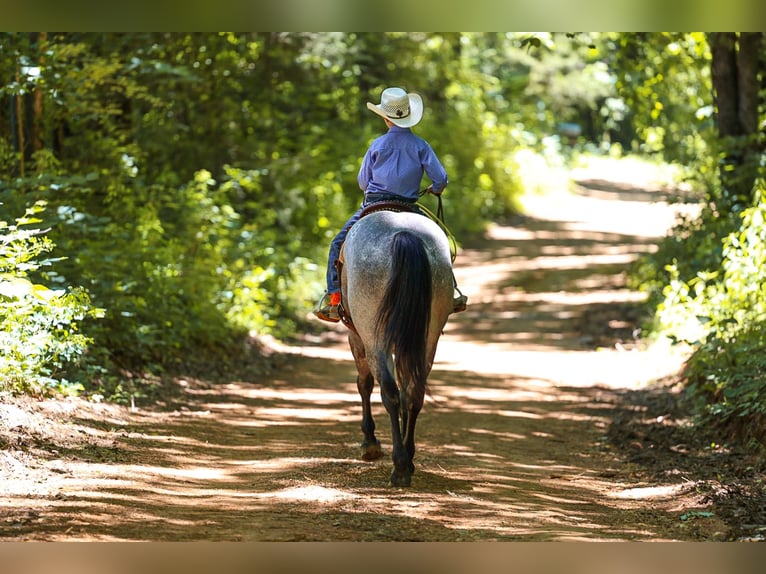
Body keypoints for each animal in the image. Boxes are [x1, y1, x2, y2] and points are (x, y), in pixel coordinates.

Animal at [339, 209, 453, 487]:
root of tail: (403, 234)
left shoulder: (357, 336)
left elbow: (365, 384)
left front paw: (370, 443)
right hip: (428, 336)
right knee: (414, 392)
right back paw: (407, 459)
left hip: (373, 336)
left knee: (388, 391)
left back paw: (399, 467)